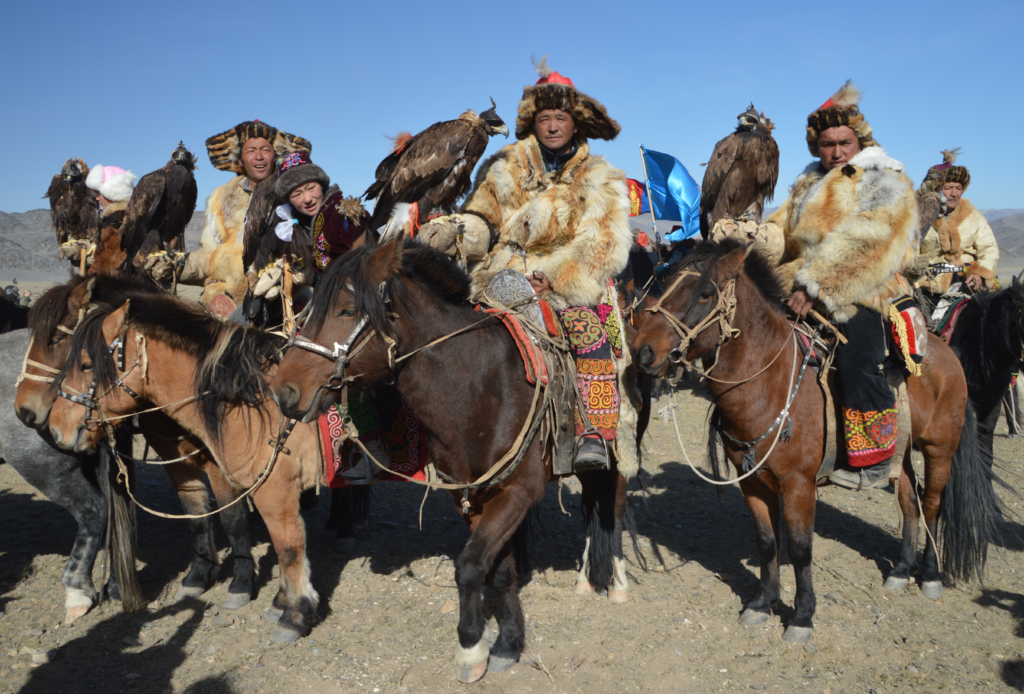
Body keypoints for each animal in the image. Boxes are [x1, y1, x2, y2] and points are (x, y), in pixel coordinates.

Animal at [14, 274, 260, 610]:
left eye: (54, 340)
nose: (24, 411)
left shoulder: (219, 466)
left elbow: (232, 519)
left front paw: (242, 582)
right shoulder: (177, 462)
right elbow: (195, 516)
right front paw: (199, 576)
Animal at [44, 284, 321, 642]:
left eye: (87, 365)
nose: (54, 428)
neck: (253, 399)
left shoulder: (275, 490)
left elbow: (287, 547)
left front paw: (296, 614)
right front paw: (280, 602)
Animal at [268, 236, 643, 683]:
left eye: (346, 310)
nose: (284, 390)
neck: (478, 386)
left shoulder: (518, 491)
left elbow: (469, 566)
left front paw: (470, 648)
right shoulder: (471, 495)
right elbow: (496, 569)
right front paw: (505, 644)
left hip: (618, 451)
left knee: (613, 507)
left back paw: (617, 582)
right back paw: (587, 578)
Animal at [630, 237, 999, 642]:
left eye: (705, 293)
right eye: (663, 285)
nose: (642, 351)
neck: (771, 382)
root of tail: (947, 353)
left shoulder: (799, 486)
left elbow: (800, 549)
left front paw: (802, 616)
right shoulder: (752, 482)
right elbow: (767, 543)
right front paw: (762, 603)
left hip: (939, 449)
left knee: (931, 505)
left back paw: (930, 575)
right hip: (900, 456)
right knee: (909, 505)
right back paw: (901, 570)